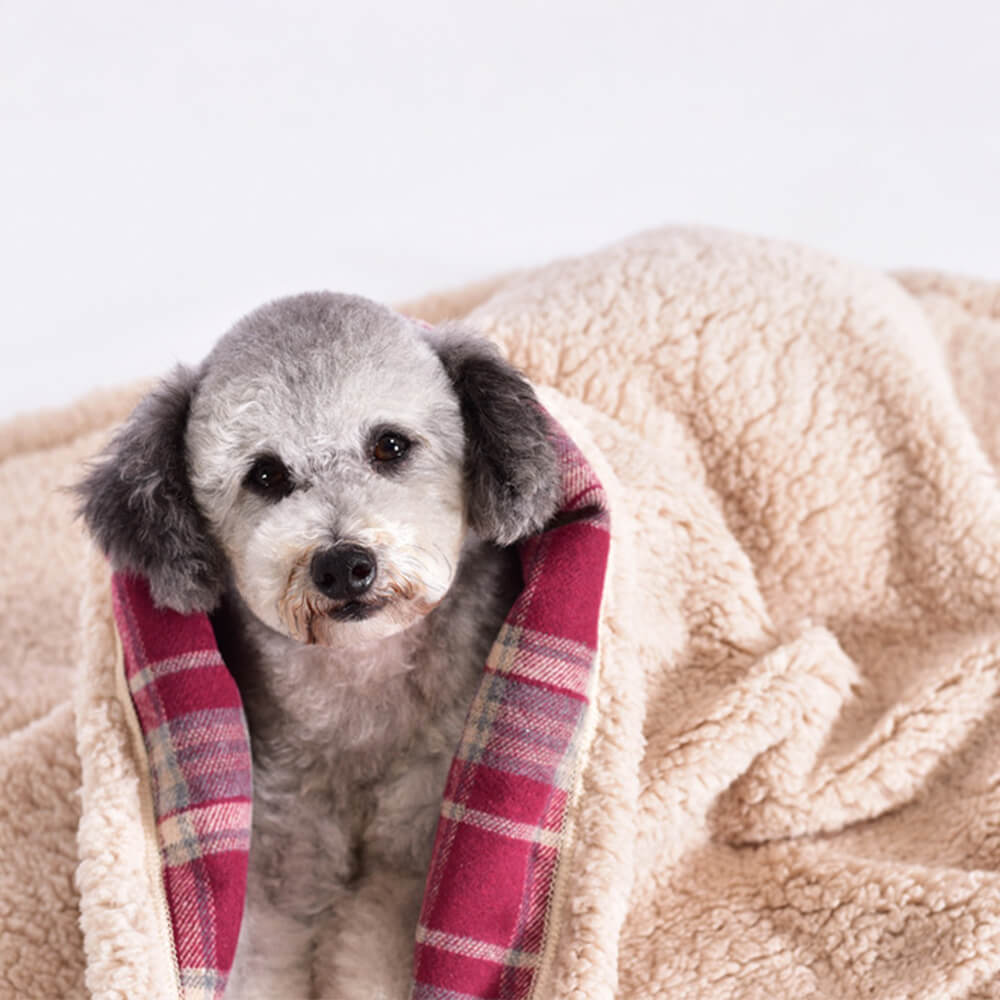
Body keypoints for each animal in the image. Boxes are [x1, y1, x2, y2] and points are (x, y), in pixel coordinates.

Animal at [78, 292, 564, 1000]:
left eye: (390, 445)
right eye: (265, 474)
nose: (342, 565)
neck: (359, 684)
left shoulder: (411, 859)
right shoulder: (278, 860)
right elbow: (258, 955)